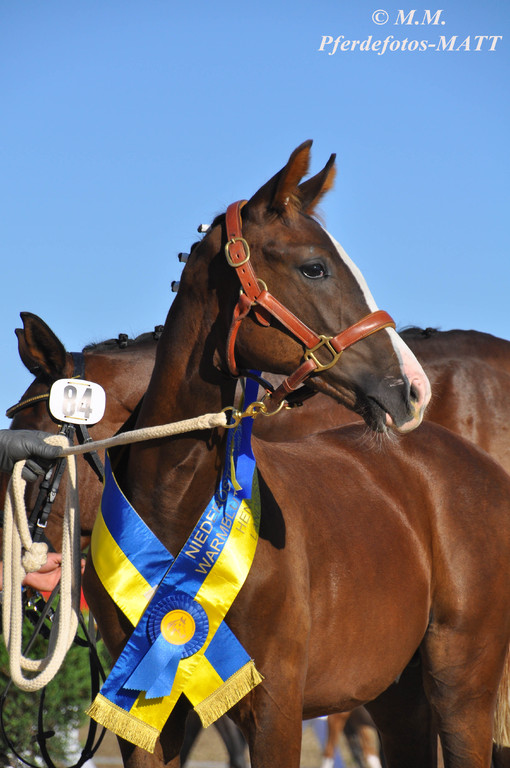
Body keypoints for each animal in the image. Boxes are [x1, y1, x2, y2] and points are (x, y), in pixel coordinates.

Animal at [74, 140, 510, 768]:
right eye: (314, 267)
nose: (413, 388)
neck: (177, 504)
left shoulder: (276, 708)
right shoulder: (146, 720)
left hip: (462, 692)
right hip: (399, 702)